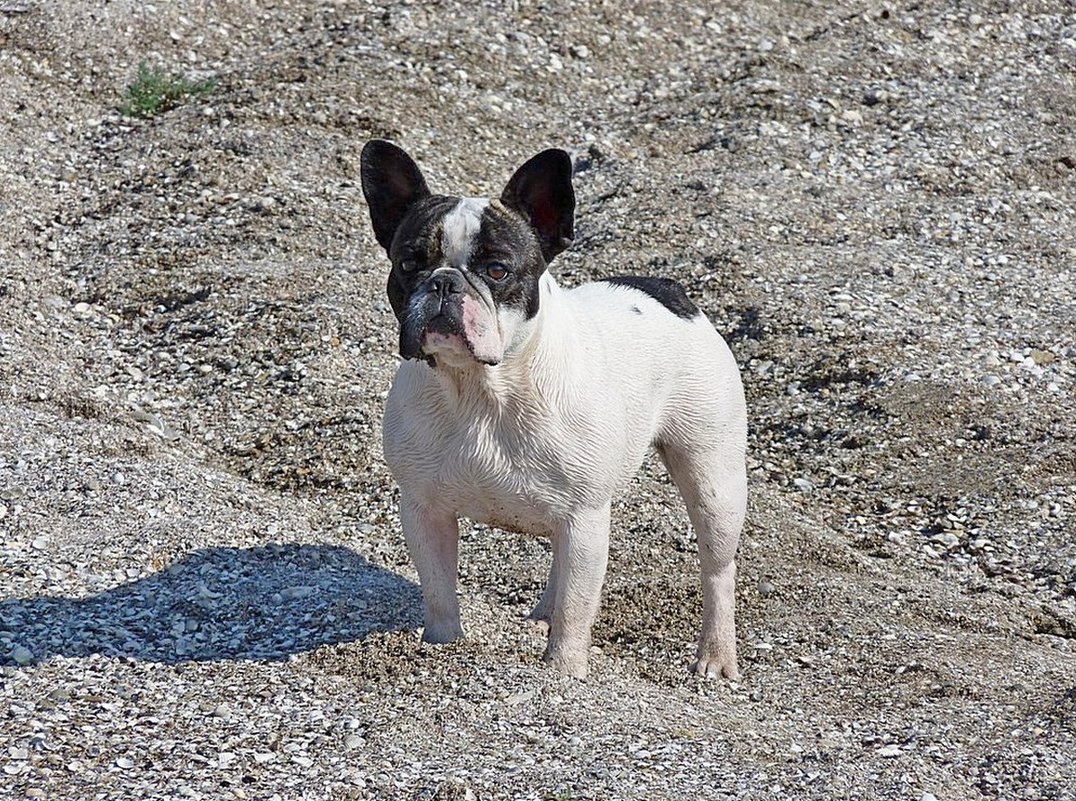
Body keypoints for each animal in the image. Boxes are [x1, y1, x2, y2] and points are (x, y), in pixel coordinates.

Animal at [361, 141, 748, 680]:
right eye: (408, 263)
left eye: (497, 270)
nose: (443, 283)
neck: (482, 388)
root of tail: (669, 290)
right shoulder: (424, 509)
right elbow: (439, 592)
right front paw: (444, 648)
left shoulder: (584, 515)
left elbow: (577, 605)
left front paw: (564, 671)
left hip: (713, 477)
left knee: (716, 569)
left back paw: (715, 654)